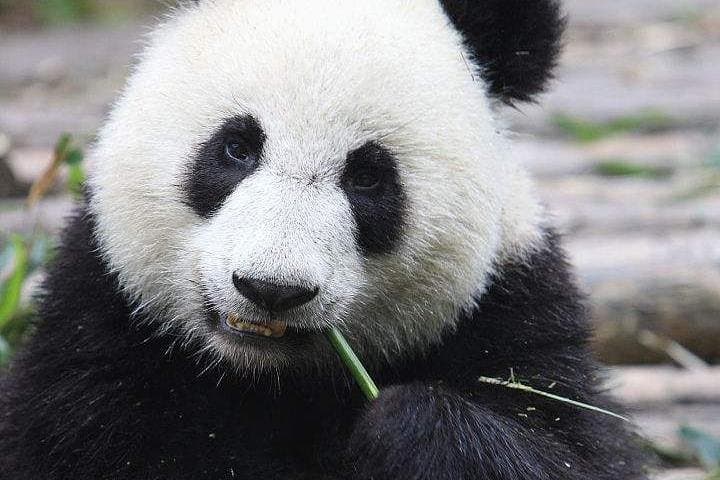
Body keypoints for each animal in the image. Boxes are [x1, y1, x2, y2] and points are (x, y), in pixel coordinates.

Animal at [0, 0, 646, 479]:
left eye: (368, 177)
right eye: (236, 148)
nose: (271, 289)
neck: (263, 375)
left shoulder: (514, 309)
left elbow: (569, 449)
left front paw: (403, 423)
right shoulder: (95, 338)